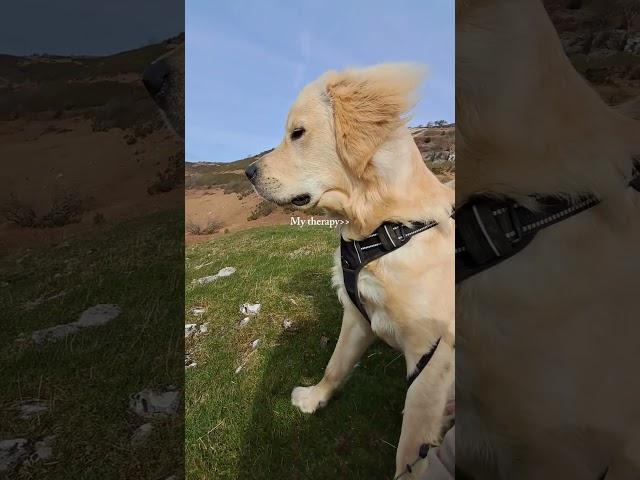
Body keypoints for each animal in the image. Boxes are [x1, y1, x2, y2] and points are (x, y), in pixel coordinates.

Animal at [245, 62, 456, 476]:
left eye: (297, 133)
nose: (248, 171)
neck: (383, 227)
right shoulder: (358, 316)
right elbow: (335, 365)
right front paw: (314, 398)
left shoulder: (432, 354)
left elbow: (409, 447)